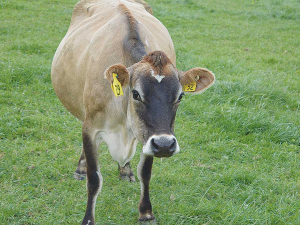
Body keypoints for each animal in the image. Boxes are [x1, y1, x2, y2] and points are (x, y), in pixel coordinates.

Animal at [51, 0, 216, 224]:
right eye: (136, 94)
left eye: (180, 96)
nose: (165, 145)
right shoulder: (91, 128)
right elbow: (94, 179)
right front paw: (88, 219)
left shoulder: (149, 135)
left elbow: (145, 172)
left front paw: (146, 213)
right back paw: (81, 168)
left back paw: (125, 170)